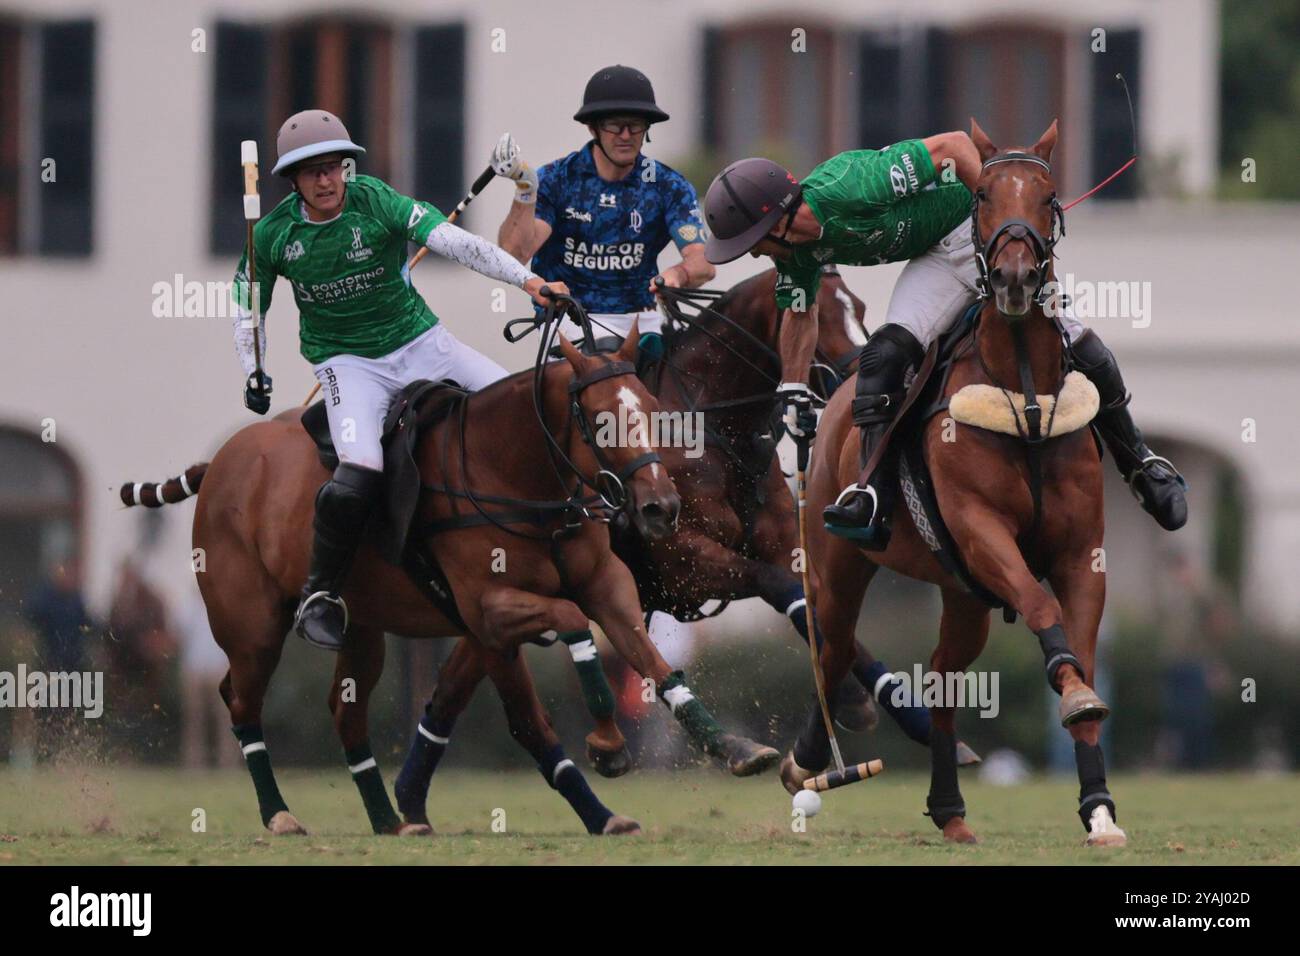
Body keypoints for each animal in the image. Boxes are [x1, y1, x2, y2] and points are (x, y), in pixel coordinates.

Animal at [119, 316, 769, 837]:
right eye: (601, 421)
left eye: (656, 412)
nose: (662, 507)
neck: (519, 477)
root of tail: (221, 461)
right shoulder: (489, 612)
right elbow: (558, 657)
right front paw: (606, 754)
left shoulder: (600, 591)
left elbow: (650, 665)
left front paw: (734, 748)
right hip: (251, 624)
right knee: (239, 700)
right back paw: (280, 814)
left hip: (362, 629)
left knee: (342, 708)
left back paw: (388, 820)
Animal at [785, 119, 1123, 842]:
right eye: (986, 196)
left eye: (1049, 196)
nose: (1016, 277)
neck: (1026, 395)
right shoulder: (982, 532)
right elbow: (1044, 609)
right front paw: (1074, 695)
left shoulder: (1082, 552)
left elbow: (1078, 649)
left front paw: (1100, 809)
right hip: (839, 565)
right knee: (835, 648)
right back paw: (807, 763)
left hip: (963, 593)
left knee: (941, 675)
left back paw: (950, 810)